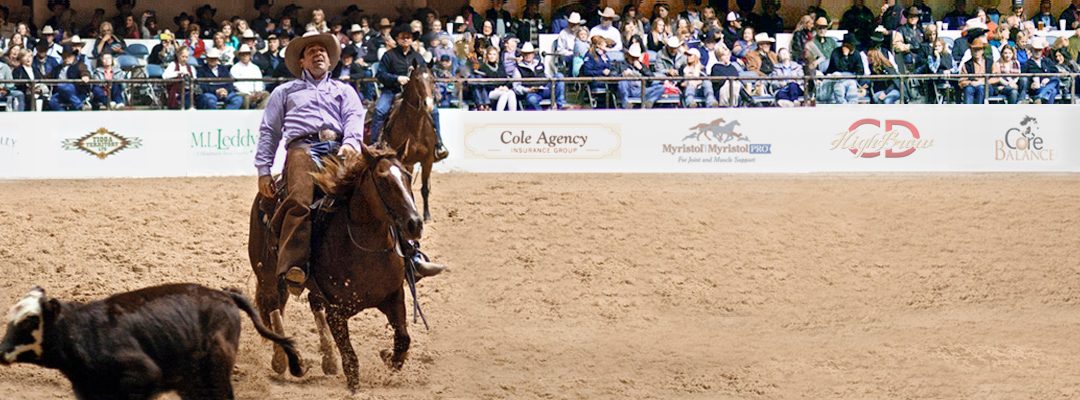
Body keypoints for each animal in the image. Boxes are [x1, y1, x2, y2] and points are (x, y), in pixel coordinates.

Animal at [247, 144, 423, 391]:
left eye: (407, 176)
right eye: (383, 180)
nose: (415, 224)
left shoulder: (394, 296)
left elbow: (403, 341)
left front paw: (386, 355)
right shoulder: (337, 311)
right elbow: (350, 358)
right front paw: (354, 385)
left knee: (312, 303)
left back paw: (329, 360)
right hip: (266, 274)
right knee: (273, 305)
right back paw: (282, 360)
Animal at [380, 65, 438, 221]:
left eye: (433, 80)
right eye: (416, 80)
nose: (428, 104)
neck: (415, 127)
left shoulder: (427, 160)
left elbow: (424, 189)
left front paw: (427, 216)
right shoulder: (402, 159)